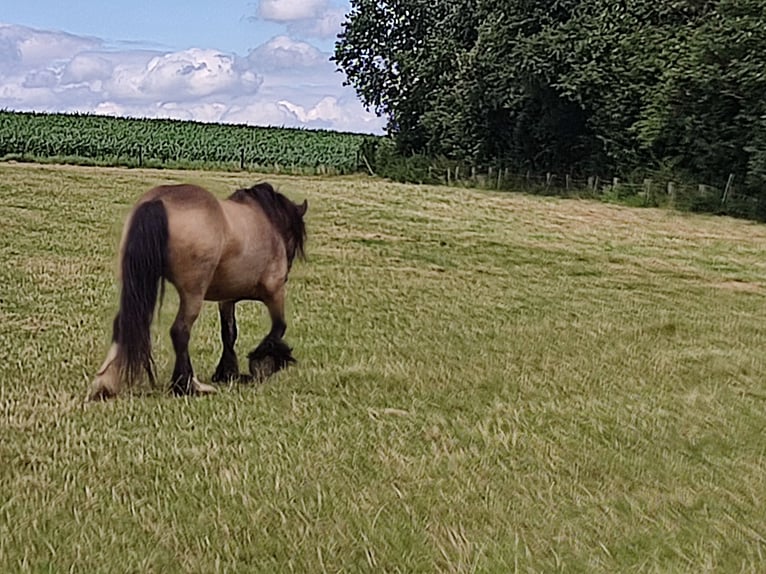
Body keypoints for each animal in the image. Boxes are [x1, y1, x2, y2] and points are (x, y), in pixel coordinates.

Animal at [88, 182, 306, 402]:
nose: (287, 272)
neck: (268, 223)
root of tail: (157, 201)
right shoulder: (274, 292)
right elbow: (279, 327)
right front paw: (263, 362)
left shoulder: (226, 299)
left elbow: (229, 333)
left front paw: (228, 372)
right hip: (193, 294)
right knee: (180, 331)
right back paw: (188, 385)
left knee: (122, 323)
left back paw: (104, 384)